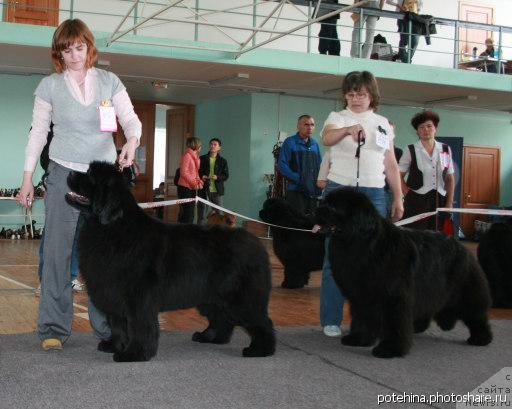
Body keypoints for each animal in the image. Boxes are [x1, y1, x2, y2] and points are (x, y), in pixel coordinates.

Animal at [68, 161, 278, 362]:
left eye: (90, 175)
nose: (70, 173)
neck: (113, 228)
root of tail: (256, 244)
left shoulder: (138, 297)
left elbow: (139, 326)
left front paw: (134, 354)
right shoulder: (113, 292)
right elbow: (117, 324)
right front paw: (115, 345)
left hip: (242, 297)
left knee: (262, 322)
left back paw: (260, 349)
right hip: (212, 295)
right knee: (221, 318)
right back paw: (210, 337)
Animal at [316, 188, 492, 356]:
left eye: (332, 207)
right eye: (324, 201)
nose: (314, 209)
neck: (363, 243)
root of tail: (463, 247)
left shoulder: (394, 296)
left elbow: (394, 323)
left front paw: (390, 348)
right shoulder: (362, 294)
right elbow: (362, 317)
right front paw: (359, 338)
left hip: (465, 292)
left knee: (476, 315)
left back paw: (481, 338)